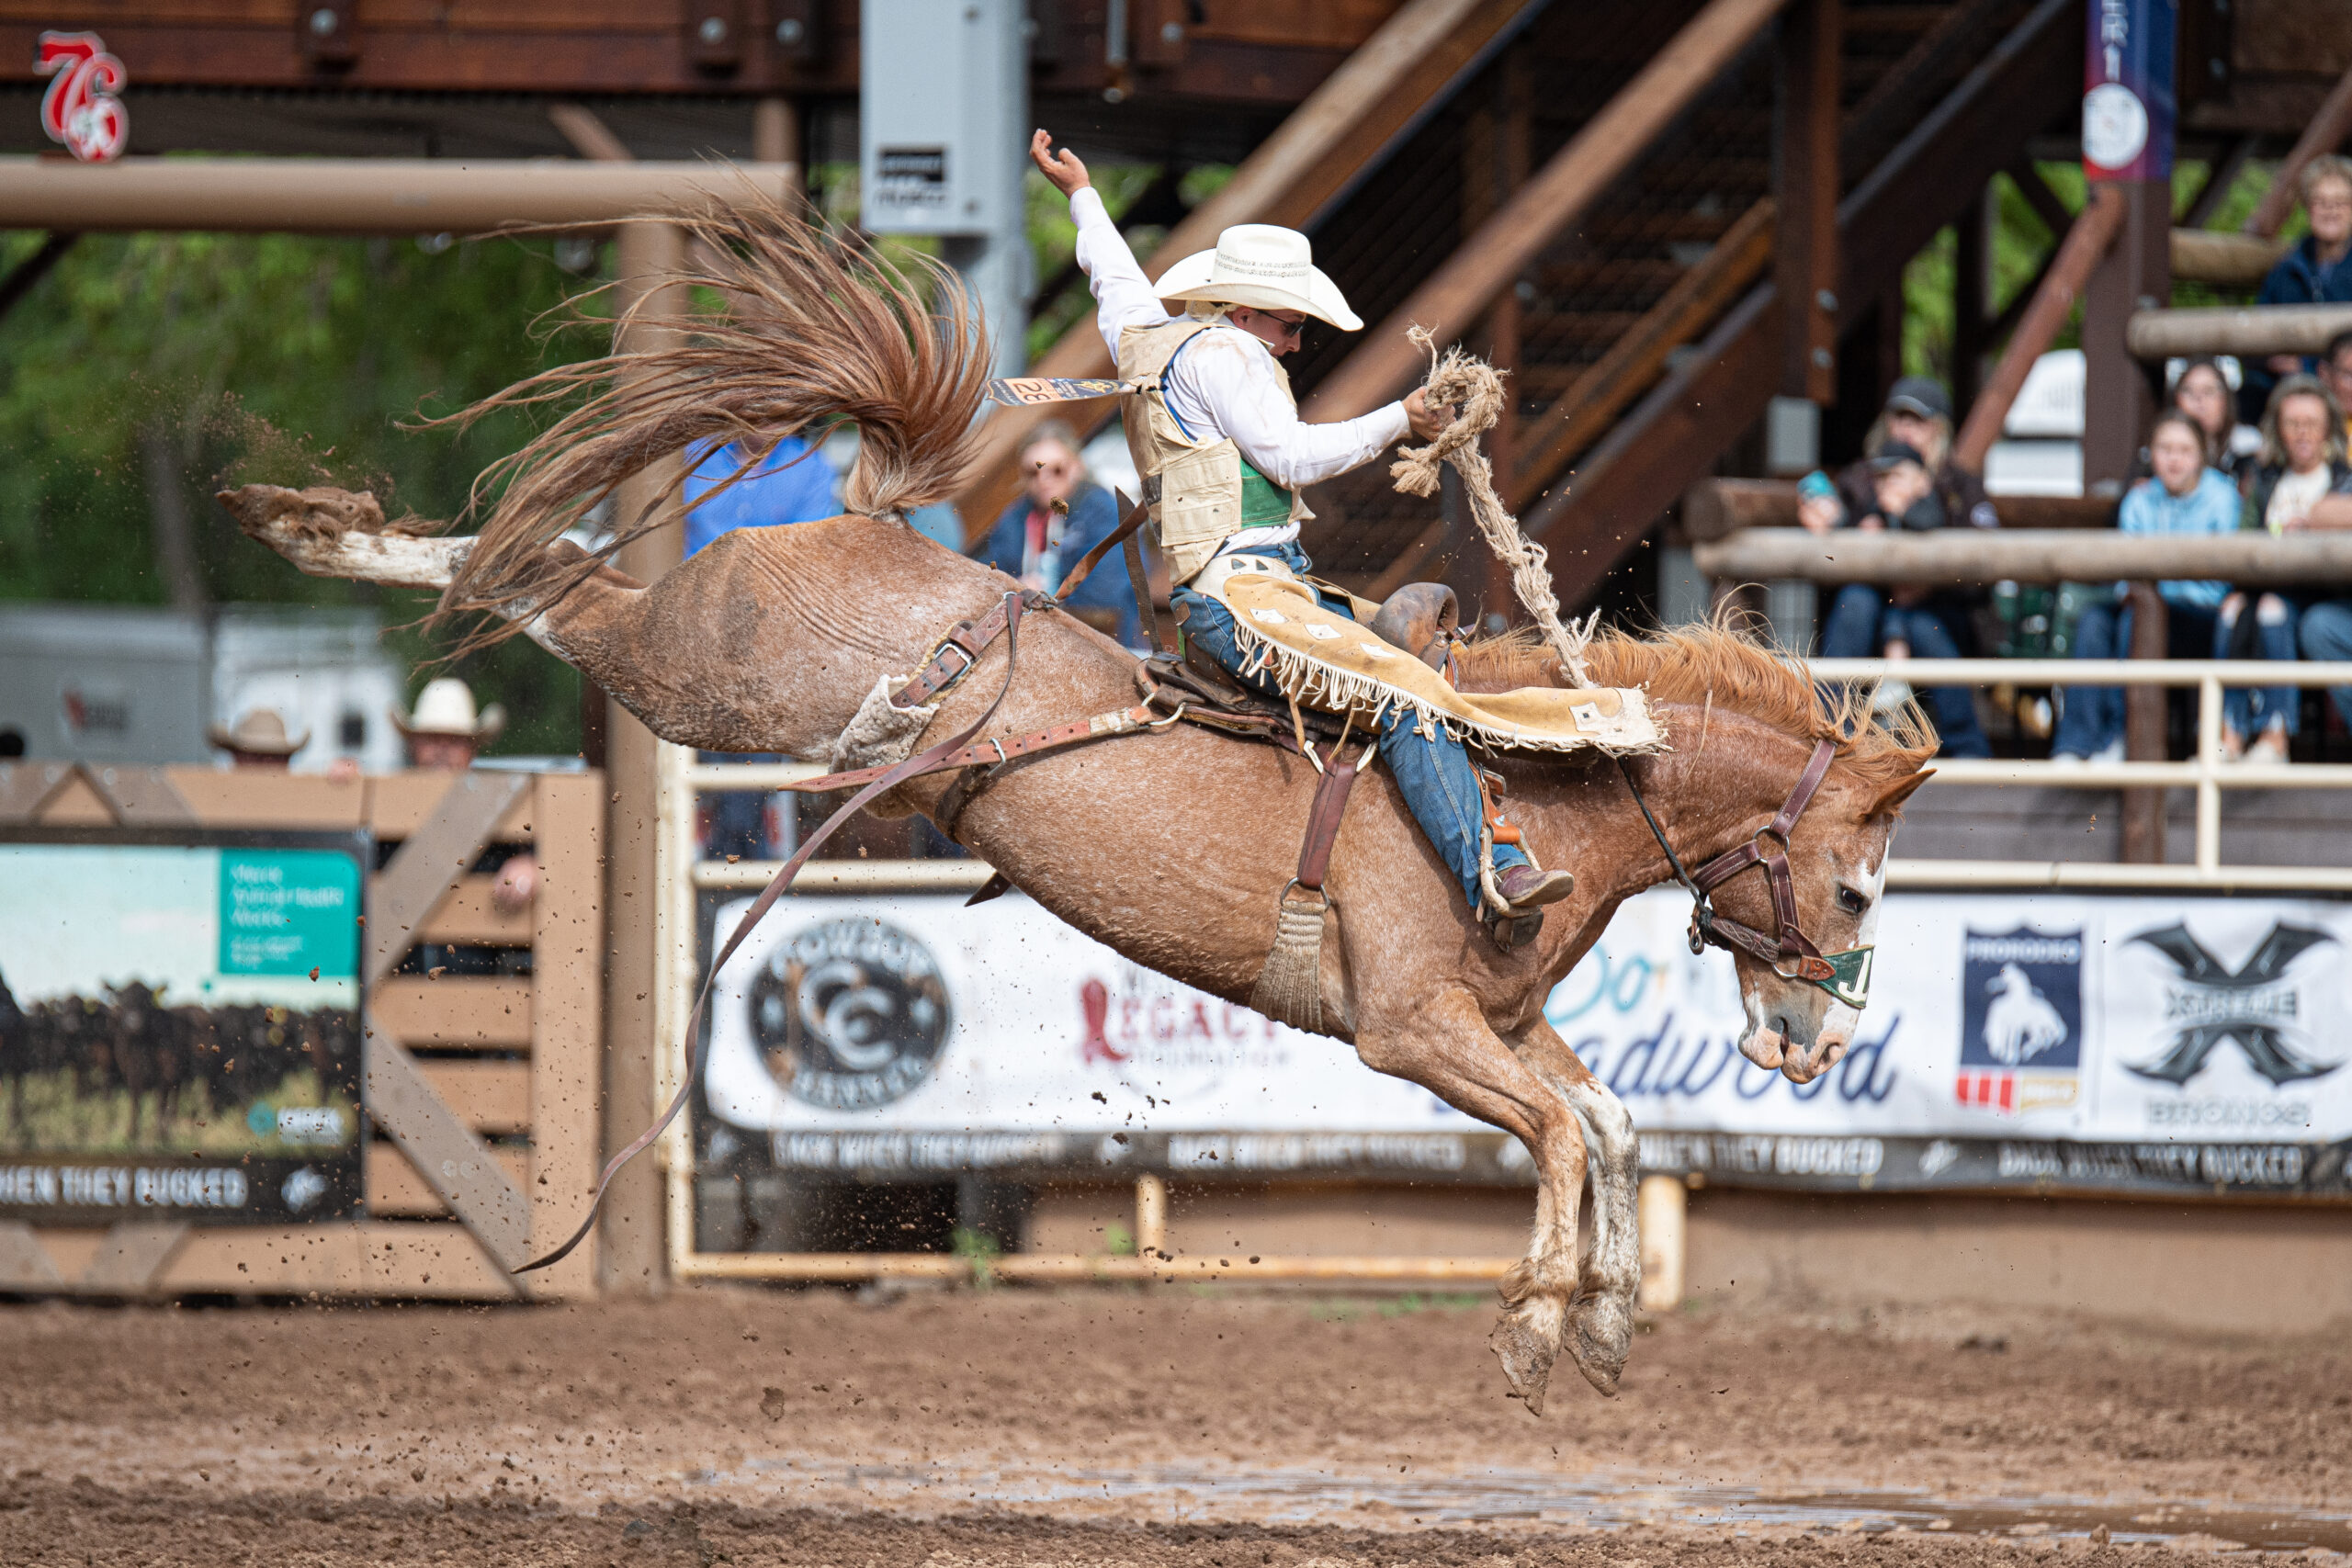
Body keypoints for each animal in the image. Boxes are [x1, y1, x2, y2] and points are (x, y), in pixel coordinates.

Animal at [220, 190, 1938, 1419]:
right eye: (1859, 886)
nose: (1814, 1043)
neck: (1541, 780)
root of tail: (860, 518)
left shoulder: (1506, 1029)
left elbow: (1612, 1121)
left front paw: (1604, 1331)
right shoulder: (1414, 1030)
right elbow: (1571, 1137)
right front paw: (1530, 1335)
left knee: (548, 571)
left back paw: (316, 522)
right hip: (693, 669)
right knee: (555, 586)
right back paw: (324, 533)